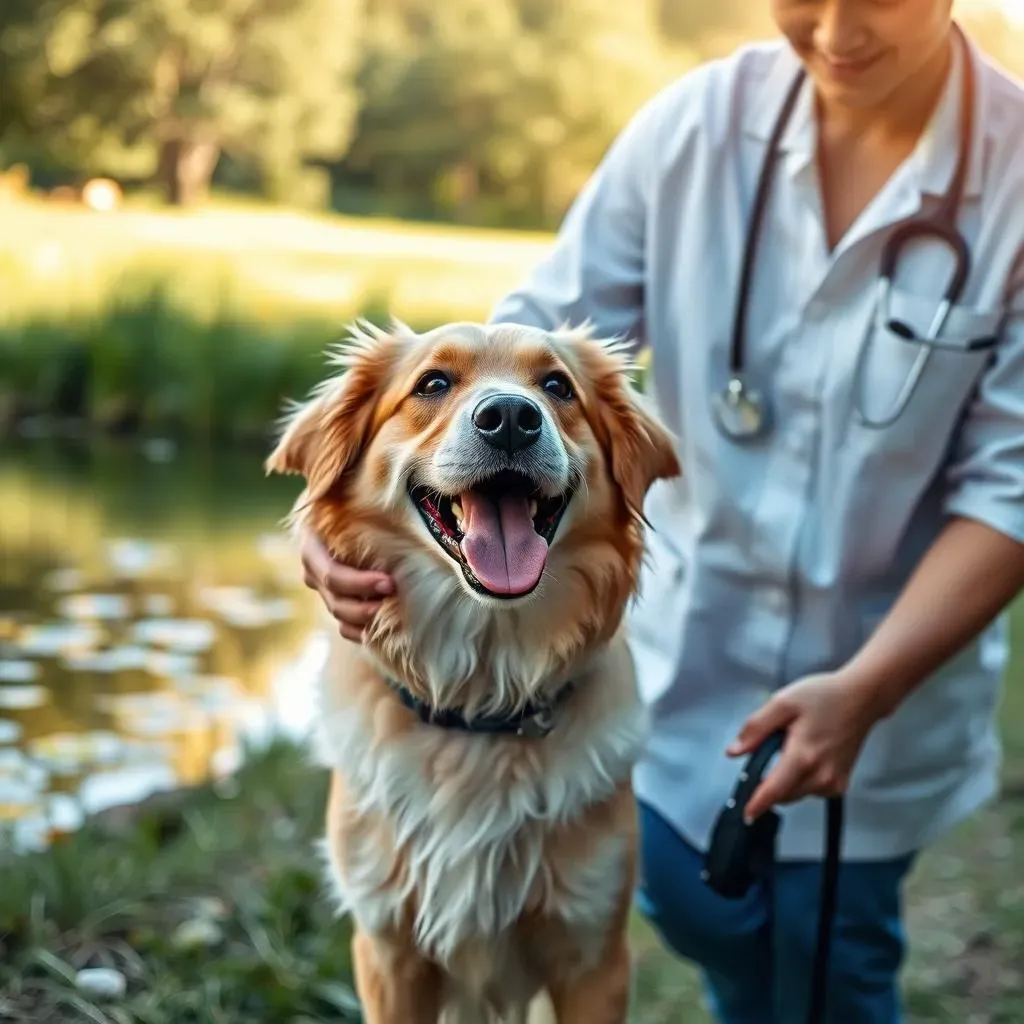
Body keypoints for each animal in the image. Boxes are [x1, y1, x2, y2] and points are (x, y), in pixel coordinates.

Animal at [264, 315, 679, 1019]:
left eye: (557, 386)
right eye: (432, 382)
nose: (511, 417)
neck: (482, 696)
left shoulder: (594, 954)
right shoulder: (387, 952)